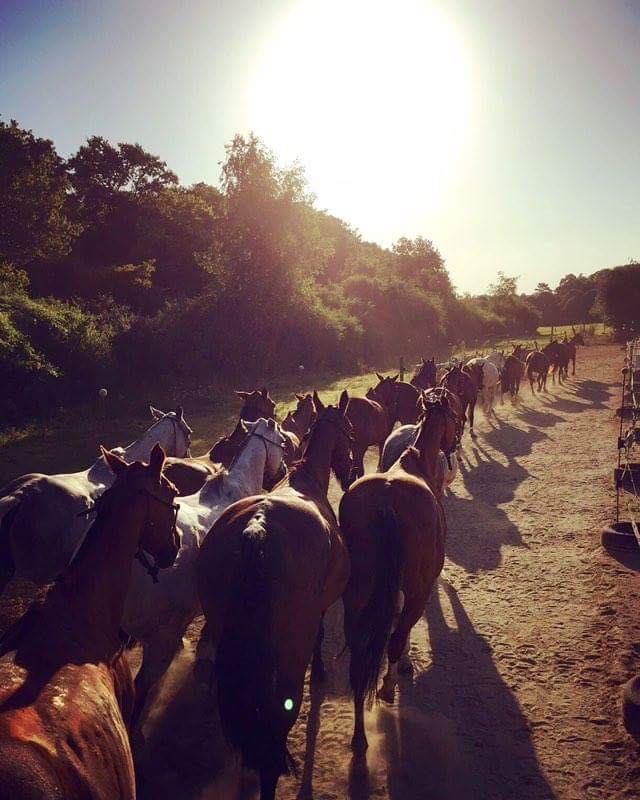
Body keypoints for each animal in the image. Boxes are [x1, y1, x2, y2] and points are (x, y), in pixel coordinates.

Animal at [196, 392, 356, 800]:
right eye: (351, 431)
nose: (351, 471)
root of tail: (259, 527)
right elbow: (319, 635)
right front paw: (321, 670)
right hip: (287, 665)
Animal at [338, 396, 458, 752]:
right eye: (454, 417)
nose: (454, 444)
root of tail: (387, 502)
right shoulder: (417, 588)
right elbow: (401, 630)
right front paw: (402, 667)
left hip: (357, 593)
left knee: (360, 659)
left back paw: (360, 737)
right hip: (418, 589)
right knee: (394, 638)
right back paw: (387, 686)